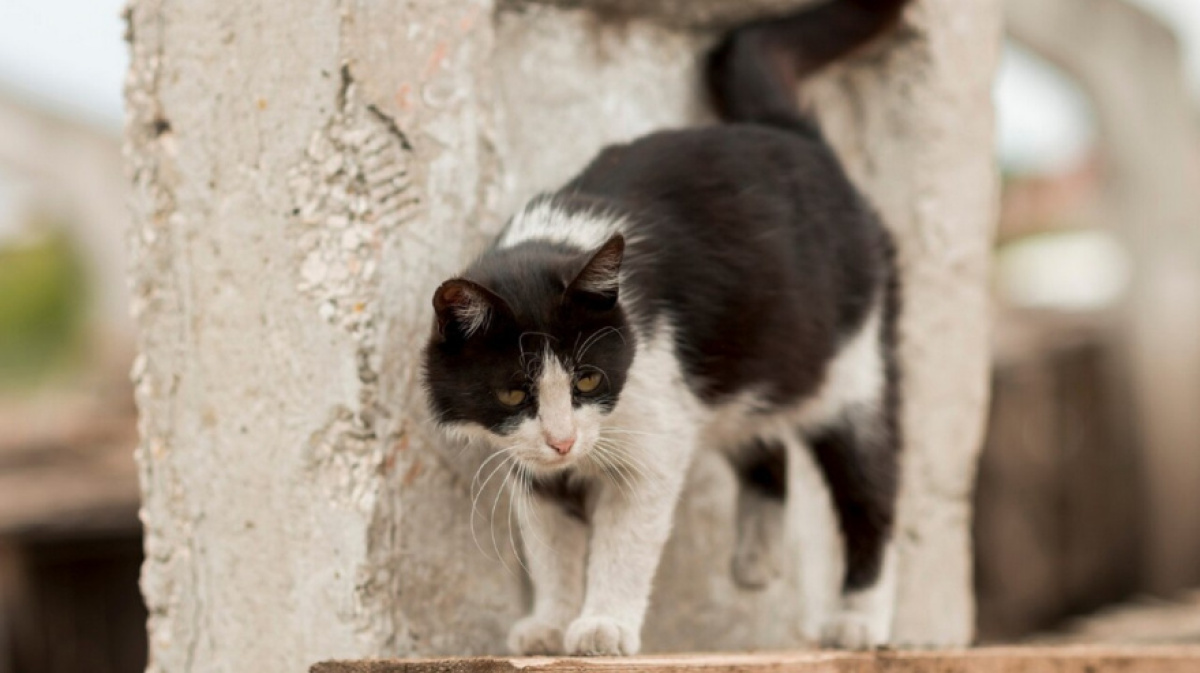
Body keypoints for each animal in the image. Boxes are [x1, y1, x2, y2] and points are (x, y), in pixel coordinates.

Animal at [427, 0, 902, 652]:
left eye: (589, 380)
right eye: (513, 393)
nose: (563, 441)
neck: (560, 240)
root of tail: (796, 137)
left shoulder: (653, 428)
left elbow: (625, 542)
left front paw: (603, 625)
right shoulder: (530, 462)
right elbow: (549, 544)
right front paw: (550, 623)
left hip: (852, 365)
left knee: (869, 488)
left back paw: (860, 618)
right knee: (763, 438)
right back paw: (757, 559)